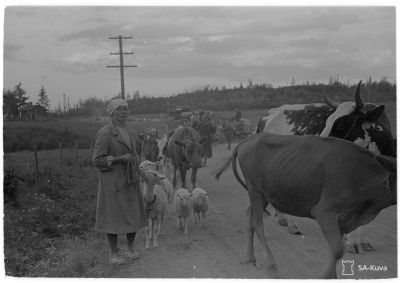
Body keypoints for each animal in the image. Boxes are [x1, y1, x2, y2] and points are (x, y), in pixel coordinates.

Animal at [214, 134, 396, 280]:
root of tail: (247, 140)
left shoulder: (344, 220)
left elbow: (336, 250)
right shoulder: (324, 212)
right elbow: (337, 250)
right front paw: (326, 277)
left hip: (264, 194)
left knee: (248, 216)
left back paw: (249, 258)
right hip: (255, 190)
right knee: (257, 224)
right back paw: (272, 267)